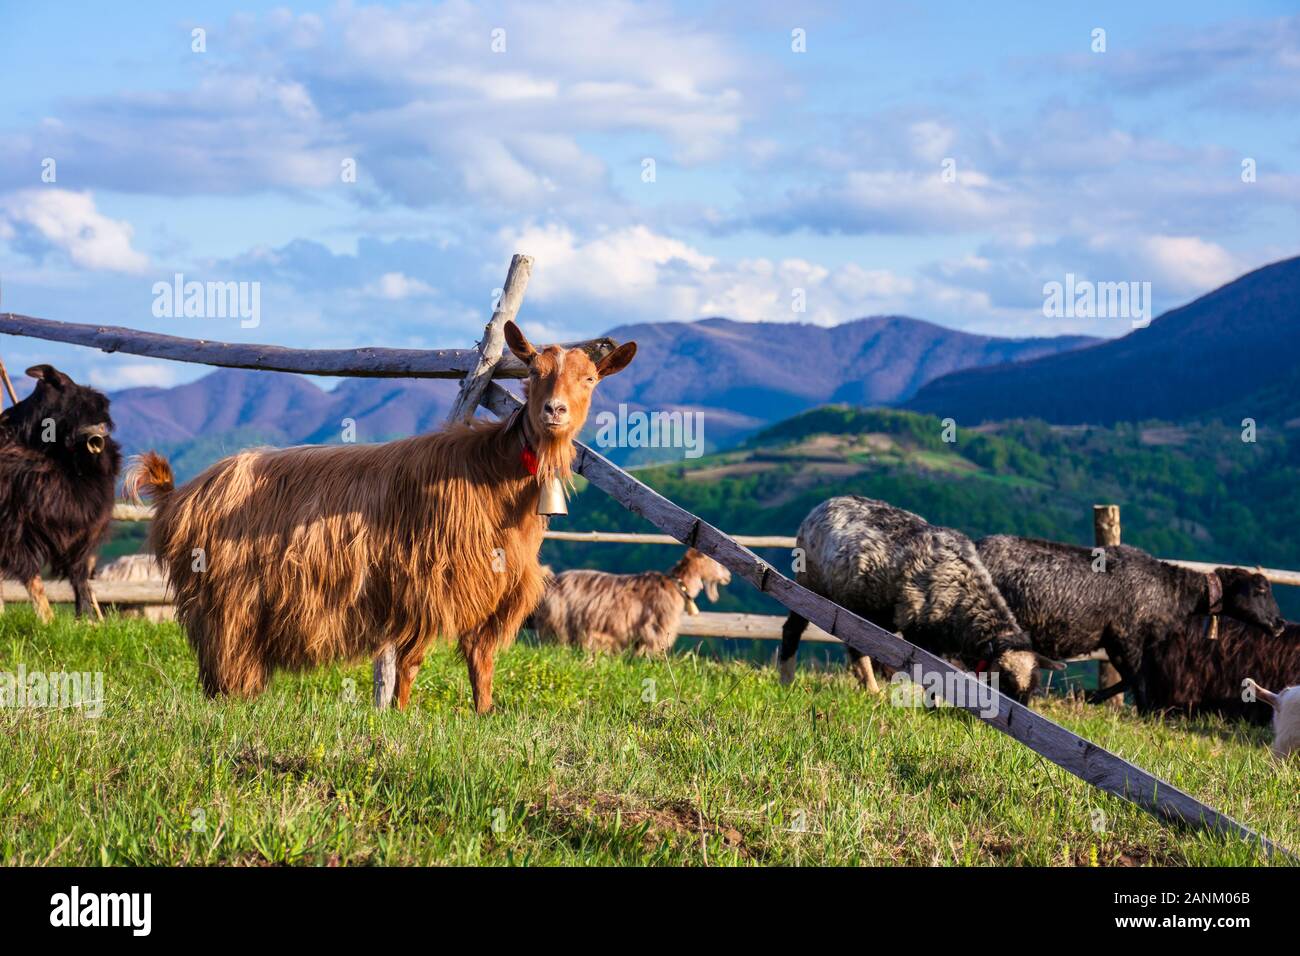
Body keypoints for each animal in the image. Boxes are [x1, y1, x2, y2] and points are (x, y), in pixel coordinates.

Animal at [0, 364, 120, 622]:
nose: (95, 436)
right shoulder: (15, 531)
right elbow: (33, 577)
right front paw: (48, 620)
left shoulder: (81, 536)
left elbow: (80, 579)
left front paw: (87, 621)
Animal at [125, 323, 636, 712]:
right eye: (533, 371)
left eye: (590, 379)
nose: (555, 411)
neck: (492, 473)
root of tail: (180, 493)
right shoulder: (427, 583)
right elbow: (410, 662)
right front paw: (401, 717)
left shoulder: (498, 588)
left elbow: (481, 660)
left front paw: (484, 714)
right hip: (227, 602)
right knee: (225, 661)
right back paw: (234, 704)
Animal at [533, 548, 731, 655]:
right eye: (716, 561)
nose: (728, 576)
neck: (676, 586)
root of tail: (550, 581)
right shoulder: (653, 630)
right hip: (558, 626)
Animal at [779, 496, 1057, 701]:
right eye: (1004, 686)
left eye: (1032, 691)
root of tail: (823, 505)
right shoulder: (919, 632)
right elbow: (931, 674)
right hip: (809, 583)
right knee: (793, 629)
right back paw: (788, 679)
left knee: (856, 646)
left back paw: (870, 689)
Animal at [976, 535, 1284, 711]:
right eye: (1260, 590)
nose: (1279, 623)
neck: (1171, 591)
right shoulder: (1124, 637)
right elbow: (1136, 679)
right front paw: (1134, 709)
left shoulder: (1126, 642)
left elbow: (1132, 679)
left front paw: (1091, 697)